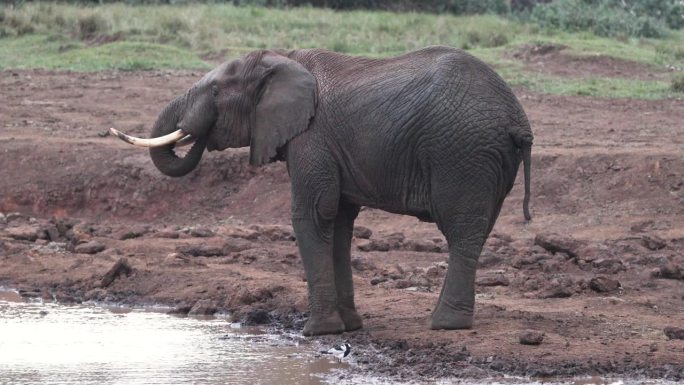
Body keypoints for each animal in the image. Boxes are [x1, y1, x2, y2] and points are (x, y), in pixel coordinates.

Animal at [111, 45, 536, 334]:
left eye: (215, 92)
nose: (197, 132)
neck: (282, 59)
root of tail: (518, 119)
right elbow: (340, 223)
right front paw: (349, 326)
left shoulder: (312, 137)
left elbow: (313, 214)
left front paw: (316, 332)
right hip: (485, 159)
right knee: (477, 230)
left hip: (462, 153)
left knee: (462, 230)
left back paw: (446, 324)